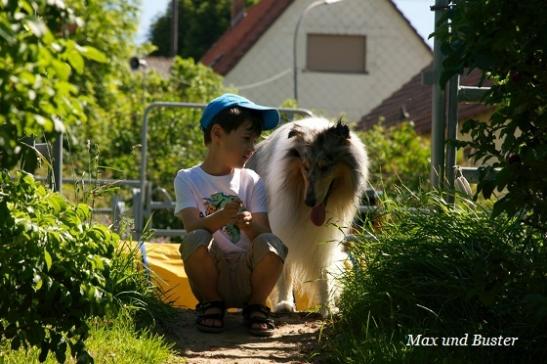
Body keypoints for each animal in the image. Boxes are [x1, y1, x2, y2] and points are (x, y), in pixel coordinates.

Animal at [247, 116, 368, 316]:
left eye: (325, 167)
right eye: (305, 166)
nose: (309, 201)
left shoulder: (324, 238)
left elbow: (324, 271)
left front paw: (328, 308)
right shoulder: (281, 226)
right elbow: (283, 271)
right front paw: (284, 304)